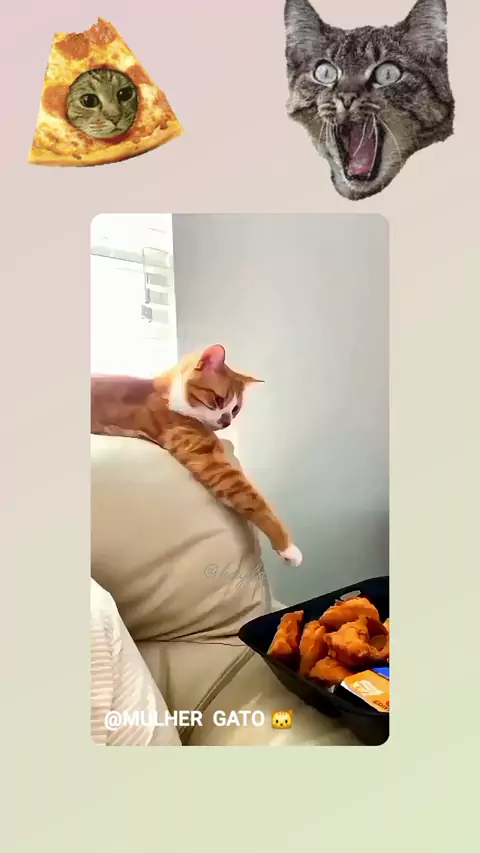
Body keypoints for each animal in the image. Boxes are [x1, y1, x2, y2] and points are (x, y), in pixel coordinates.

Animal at [91, 344, 303, 567]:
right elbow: (254, 499)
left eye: (235, 409)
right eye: (219, 399)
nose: (226, 422)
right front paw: (287, 547)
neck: (167, 394)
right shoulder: (211, 461)